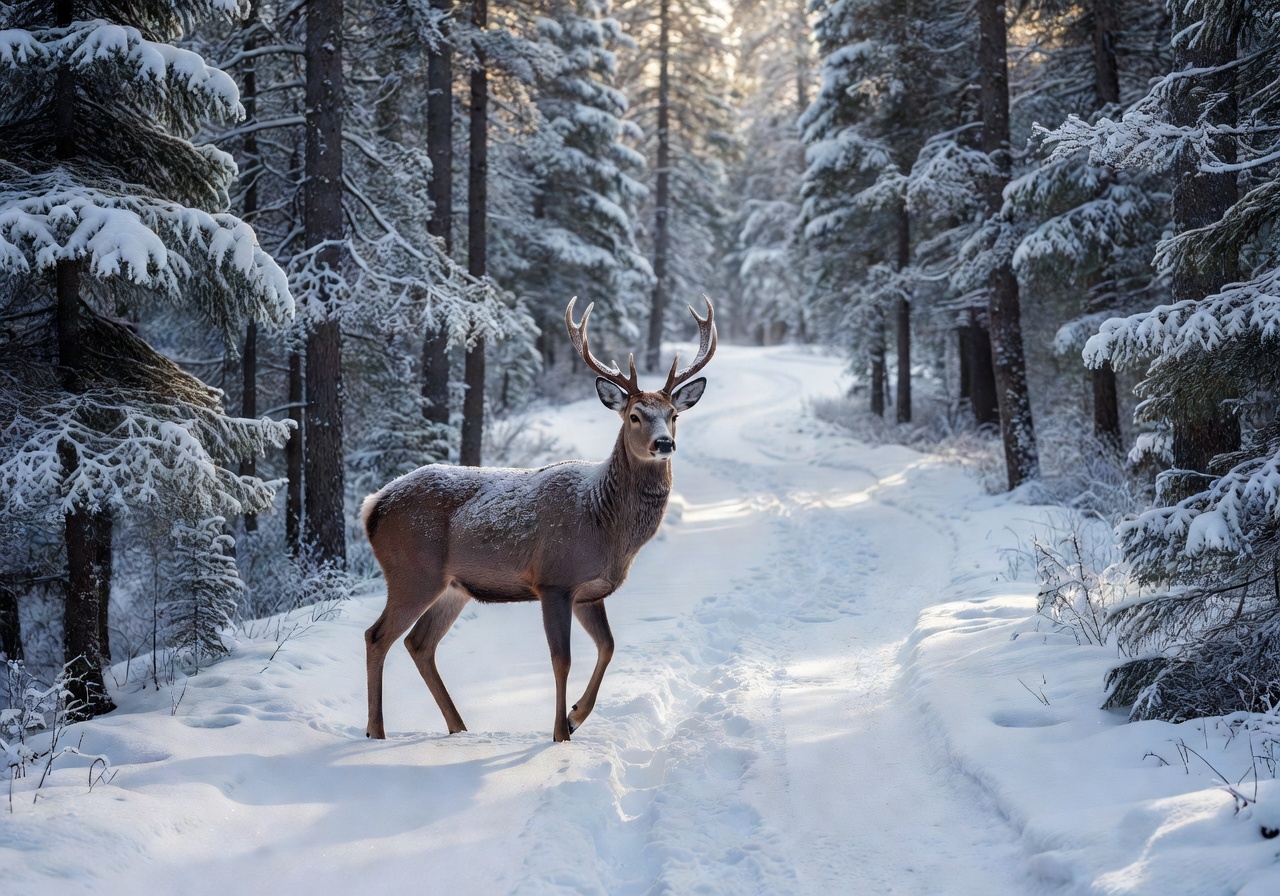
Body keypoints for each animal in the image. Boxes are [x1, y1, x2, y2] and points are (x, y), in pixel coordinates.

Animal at [361, 298, 716, 742]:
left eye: (673, 414)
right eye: (635, 415)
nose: (664, 443)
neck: (604, 523)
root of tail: (373, 505)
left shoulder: (590, 591)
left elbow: (608, 647)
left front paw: (576, 715)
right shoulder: (554, 580)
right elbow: (561, 660)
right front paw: (560, 733)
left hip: (452, 587)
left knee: (419, 644)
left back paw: (459, 729)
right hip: (411, 572)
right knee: (377, 636)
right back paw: (376, 732)